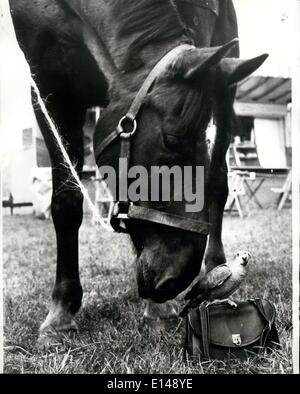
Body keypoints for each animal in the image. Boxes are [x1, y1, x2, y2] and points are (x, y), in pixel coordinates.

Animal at [8, 0, 268, 344]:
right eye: (170, 139)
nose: (176, 281)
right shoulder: (47, 86)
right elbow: (66, 202)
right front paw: (61, 314)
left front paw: (158, 311)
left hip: (227, 88)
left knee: (218, 184)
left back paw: (215, 265)